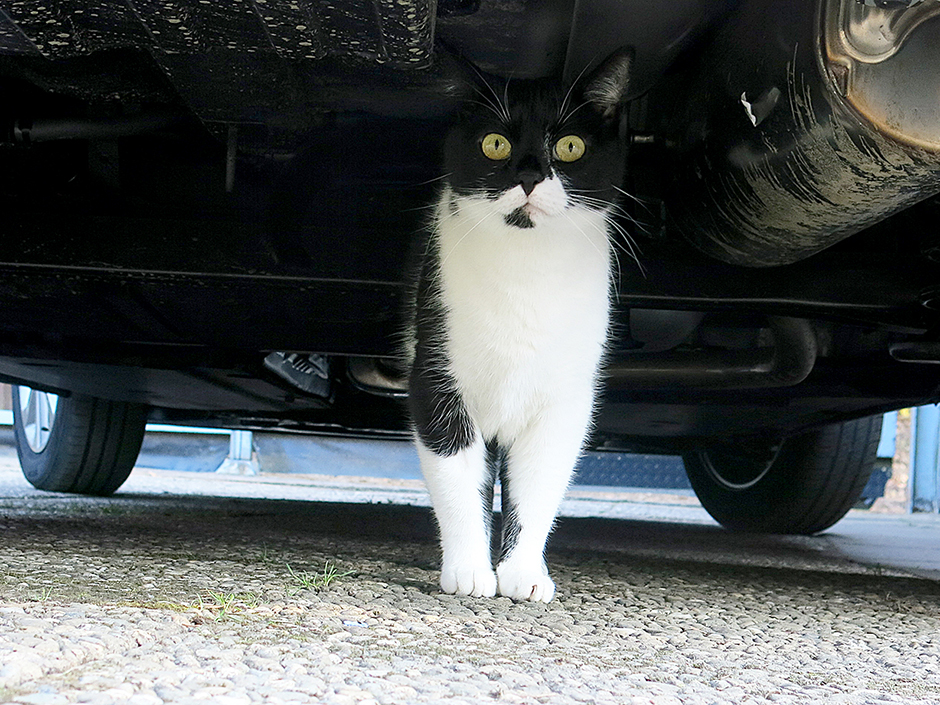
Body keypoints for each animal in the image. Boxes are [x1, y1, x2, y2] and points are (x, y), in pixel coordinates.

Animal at [408, 55, 636, 604]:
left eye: (570, 146)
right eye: (495, 143)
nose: (530, 177)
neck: (525, 272)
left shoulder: (564, 400)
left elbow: (538, 486)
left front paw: (523, 573)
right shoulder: (436, 379)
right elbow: (456, 476)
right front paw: (470, 570)